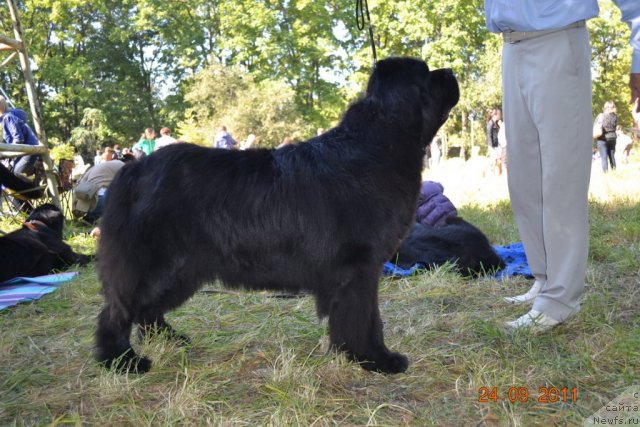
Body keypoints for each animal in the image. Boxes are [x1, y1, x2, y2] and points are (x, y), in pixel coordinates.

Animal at [94, 57, 460, 374]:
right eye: (426, 75)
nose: (451, 71)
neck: (380, 144)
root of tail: (133, 170)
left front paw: (355, 355)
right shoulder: (360, 268)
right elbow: (365, 318)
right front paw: (375, 359)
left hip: (183, 269)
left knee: (146, 309)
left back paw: (170, 339)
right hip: (153, 264)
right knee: (117, 311)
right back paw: (122, 361)